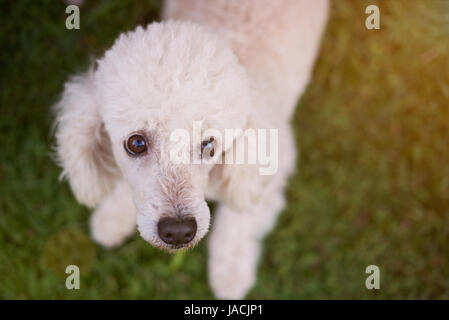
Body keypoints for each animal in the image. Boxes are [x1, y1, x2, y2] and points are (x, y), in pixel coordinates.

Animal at [53, 0, 328, 300]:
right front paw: (112, 217)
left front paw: (230, 274)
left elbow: (238, 222)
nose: (178, 231)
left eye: (208, 144)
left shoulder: (269, 166)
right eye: (136, 143)